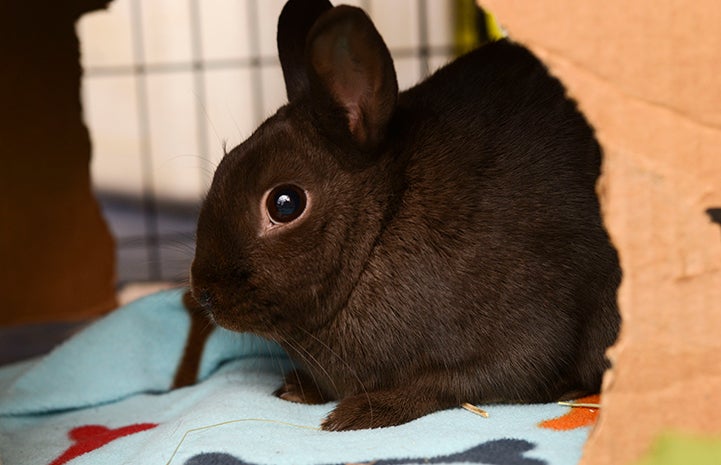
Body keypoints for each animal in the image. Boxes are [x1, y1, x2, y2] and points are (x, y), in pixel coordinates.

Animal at [189, 0, 621, 431]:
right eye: (223, 165)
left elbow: (449, 383)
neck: (382, 226)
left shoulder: (526, 335)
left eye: (285, 203)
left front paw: (358, 414)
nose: (204, 293)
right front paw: (297, 389)